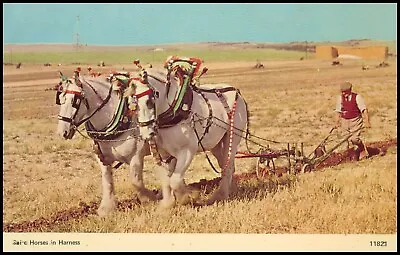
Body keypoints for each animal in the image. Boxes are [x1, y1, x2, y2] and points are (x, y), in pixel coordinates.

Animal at [55, 70, 165, 216]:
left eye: (75, 101)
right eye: (60, 99)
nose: (62, 132)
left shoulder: (136, 157)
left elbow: (136, 182)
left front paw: (150, 199)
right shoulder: (102, 159)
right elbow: (107, 180)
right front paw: (106, 208)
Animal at [126, 66, 248, 208]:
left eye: (150, 100)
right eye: (132, 104)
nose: (146, 133)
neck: (174, 110)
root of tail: (237, 92)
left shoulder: (187, 150)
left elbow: (175, 180)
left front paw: (188, 197)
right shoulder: (164, 154)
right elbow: (167, 181)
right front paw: (167, 204)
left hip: (232, 138)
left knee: (228, 167)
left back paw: (220, 195)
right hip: (216, 145)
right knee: (226, 165)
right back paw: (230, 190)